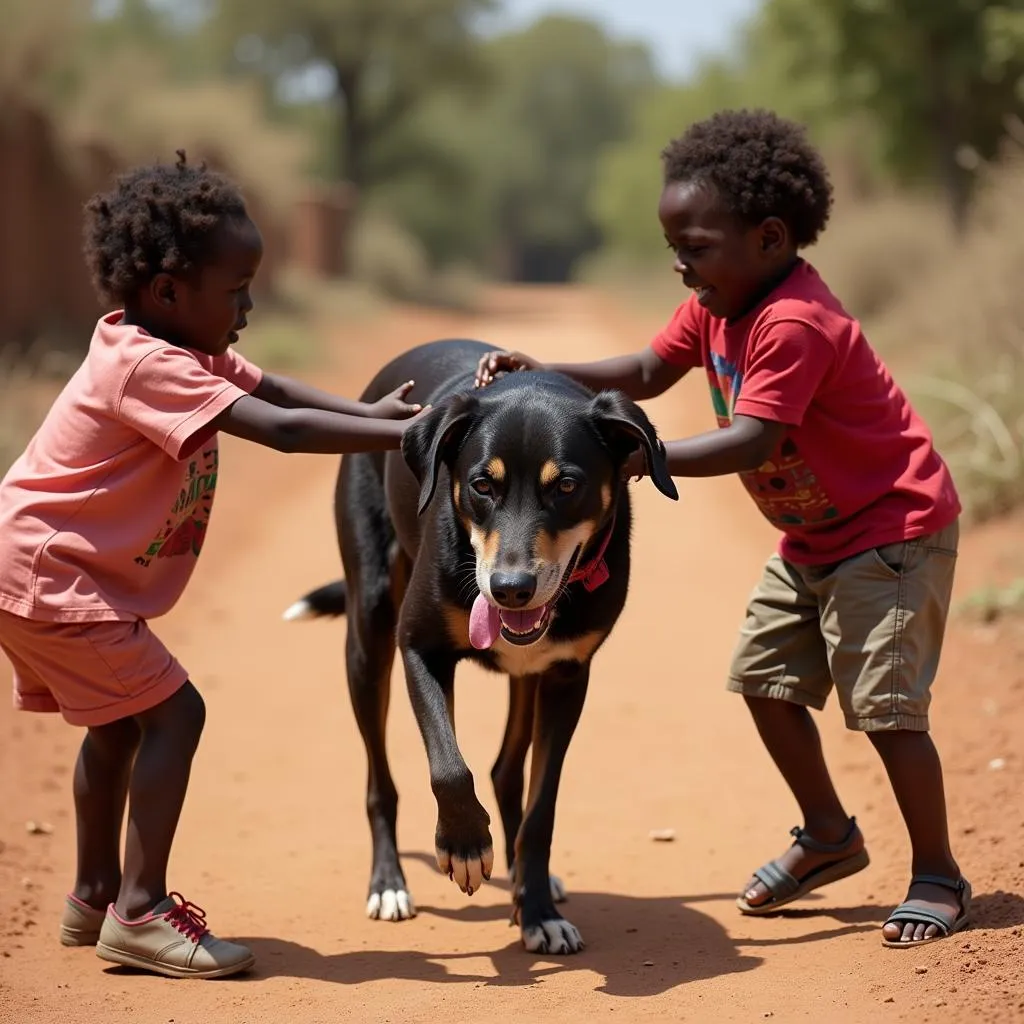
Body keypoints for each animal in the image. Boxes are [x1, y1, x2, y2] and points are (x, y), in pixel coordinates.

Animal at [284, 339, 675, 954]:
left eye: (567, 486)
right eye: (481, 485)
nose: (510, 589)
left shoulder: (568, 674)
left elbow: (541, 808)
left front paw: (536, 909)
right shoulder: (418, 648)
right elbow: (448, 767)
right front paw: (465, 844)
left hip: (527, 676)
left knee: (505, 770)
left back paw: (524, 879)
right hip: (368, 636)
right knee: (380, 781)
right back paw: (389, 883)